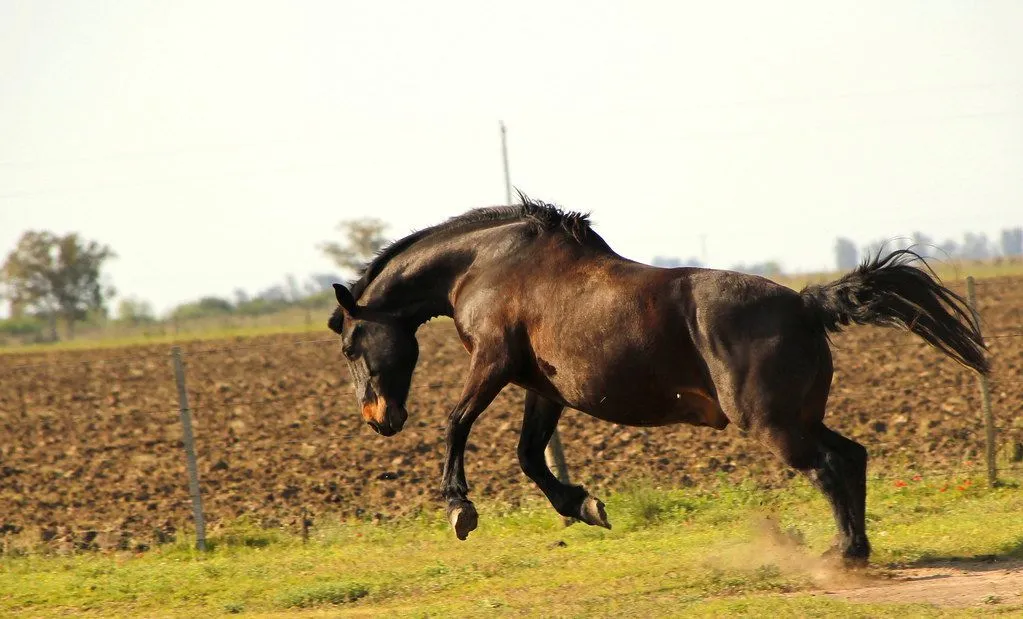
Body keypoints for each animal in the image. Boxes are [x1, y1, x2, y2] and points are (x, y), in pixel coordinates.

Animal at [325, 194, 982, 564]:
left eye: (352, 344)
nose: (378, 419)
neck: (486, 266)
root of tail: (805, 303)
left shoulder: (493, 362)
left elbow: (457, 423)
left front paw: (460, 508)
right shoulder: (542, 388)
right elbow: (530, 457)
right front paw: (584, 506)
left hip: (772, 423)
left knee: (828, 467)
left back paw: (843, 554)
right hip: (800, 417)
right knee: (852, 456)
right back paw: (855, 548)